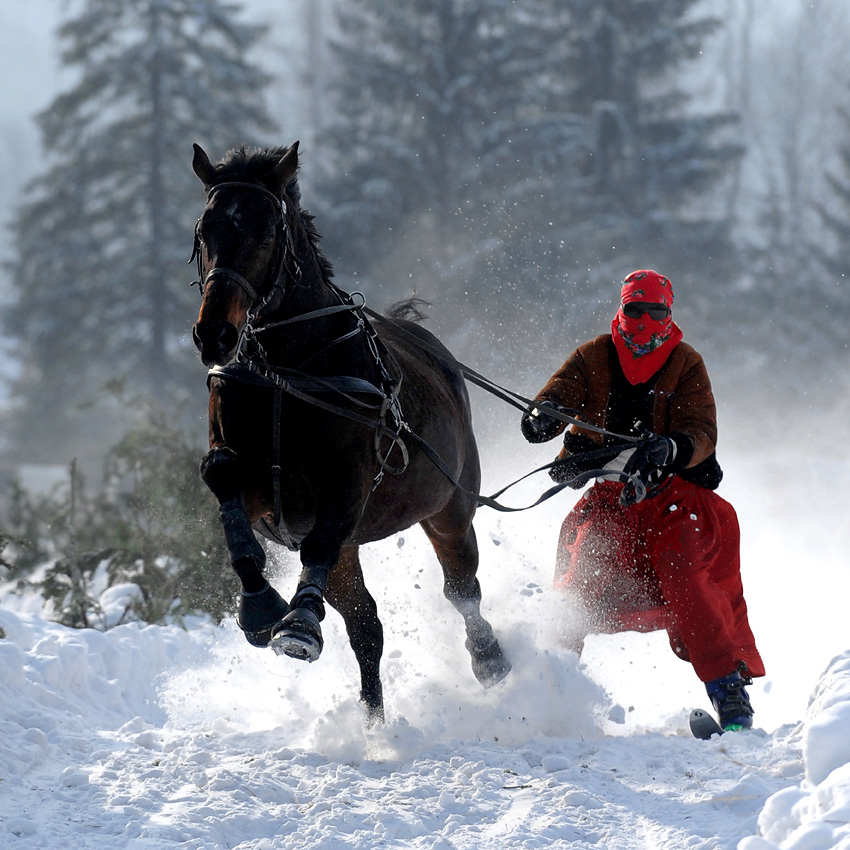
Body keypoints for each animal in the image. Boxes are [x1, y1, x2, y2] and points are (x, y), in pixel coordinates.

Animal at [190, 142, 510, 720]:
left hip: (450, 506)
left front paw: (297, 623)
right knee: (366, 625)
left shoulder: (346, 486)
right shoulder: (257, 485)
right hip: (353, 550)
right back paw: (372, 718)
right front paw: (261, 607)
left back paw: (488, 657)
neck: (286, 372)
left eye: (265, 232)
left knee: (461, 588)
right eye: (205, 231)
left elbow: (321, 540)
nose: (215, 334)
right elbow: (221, 472)